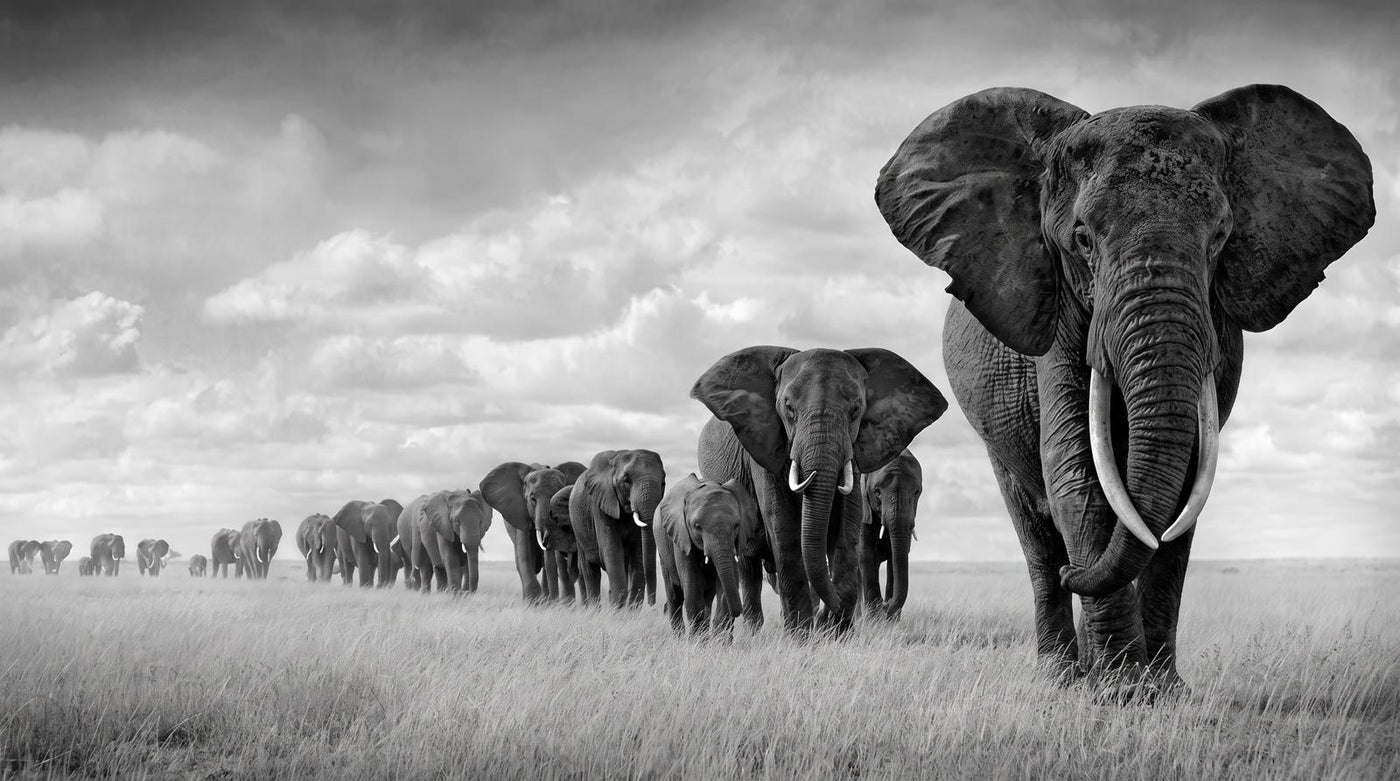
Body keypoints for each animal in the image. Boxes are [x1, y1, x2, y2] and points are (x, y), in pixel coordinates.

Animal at [568, 450, 666, 608]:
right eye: (626, 480)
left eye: (663, 482)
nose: (652, 603)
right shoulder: (600, 505)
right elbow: (612, 550)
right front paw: (616, 611)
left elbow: (638, 553)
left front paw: (627, 612)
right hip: (578, 527)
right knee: (589, 570)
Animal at [655, 474, 762, 637]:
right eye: (697, 526)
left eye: (737, 525)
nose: (740, 611)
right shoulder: (681, 537)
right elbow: (692, 588)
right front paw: (696, 641)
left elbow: (725, 589)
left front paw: (720, 641)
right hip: (663, 551)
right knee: (674, 596)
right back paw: (680, 637)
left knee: (707, 599)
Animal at [858, 449, 922, 620]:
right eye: (877, 492)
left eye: (917, 492)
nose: (886, 605)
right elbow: (865, 552)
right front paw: (875, 618)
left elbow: (895, 555)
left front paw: (890, 621)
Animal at [875, 85, 1374, 692]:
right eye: (1082, 238)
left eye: (1221, 238)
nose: (1078, 573)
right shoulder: (1058, 307)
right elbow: (1075, 470)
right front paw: (1119, 690)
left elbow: (1188, 481)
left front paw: (1161, 691)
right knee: (1035, 534)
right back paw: (1064, 675)